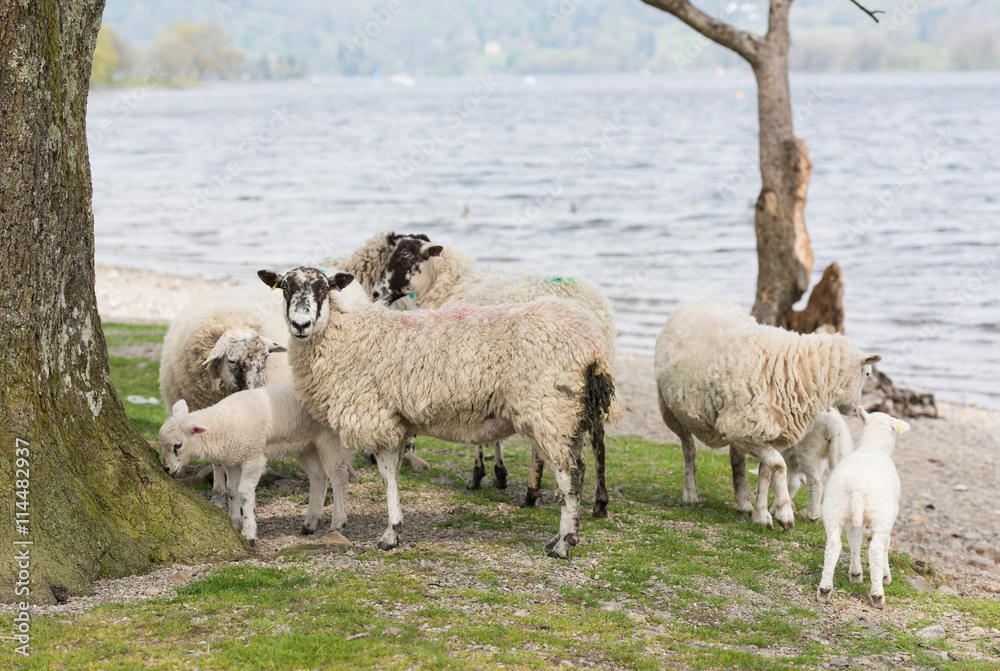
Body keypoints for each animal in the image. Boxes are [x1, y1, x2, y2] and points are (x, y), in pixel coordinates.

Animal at [159, 384, 352, 545]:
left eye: (178, 445)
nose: (167, 468)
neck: (224, 425)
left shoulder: (253, 458)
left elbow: (244, 493)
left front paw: (249, 532)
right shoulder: (232, 462)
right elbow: (232, 492)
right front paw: (234, 522)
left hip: (329, 439)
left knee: (339, 477)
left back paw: (338, 523)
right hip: (305, 446)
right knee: (319, 477)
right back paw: (310, 524)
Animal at [257, 266, 618, 559]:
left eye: (324, 289)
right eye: (285, 287)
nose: (300, 324)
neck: (344, 335)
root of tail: (593, 344)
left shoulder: (379, 416)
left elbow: (387, 477)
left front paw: (390, 535)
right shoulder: (396, 419)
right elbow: (391, 475)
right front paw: (394, 529)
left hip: (550, 409)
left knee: (570, 475)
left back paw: (563, 544)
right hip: (569, 415)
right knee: (581, 466)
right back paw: (564, 535)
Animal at [370, 238, 618, 516]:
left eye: (404, 257)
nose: (376, 293)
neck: (452, 283)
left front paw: (480, 475)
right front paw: (498, 474)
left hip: (544, 386)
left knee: (543, 444)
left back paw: (533, 492)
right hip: (588, 386)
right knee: (598, 439)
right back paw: (599, 501)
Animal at [653, 301, 880, 530]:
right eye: (868, 373)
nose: (855, 409)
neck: (797, 371)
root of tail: (701, 302)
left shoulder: (765, 433)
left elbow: (765, 472)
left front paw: (760, 514)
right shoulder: (747, 433)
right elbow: (779, 466)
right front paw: (785, 515)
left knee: (736, 459)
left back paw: (743, 502)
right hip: (672, 409)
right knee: (688, 448)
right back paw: (690, 493)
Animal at [817, 407, 909, 609]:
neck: (874, 445)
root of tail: (857, 483)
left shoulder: (852, 520)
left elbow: (854, 541)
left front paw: (855, 574)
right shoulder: (888, 518)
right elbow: (885, 546)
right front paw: (885, 575)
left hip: (835, 508)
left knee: (834, 545)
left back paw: (824, 590)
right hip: (880, 513)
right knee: (875, 549)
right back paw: (878, 595)